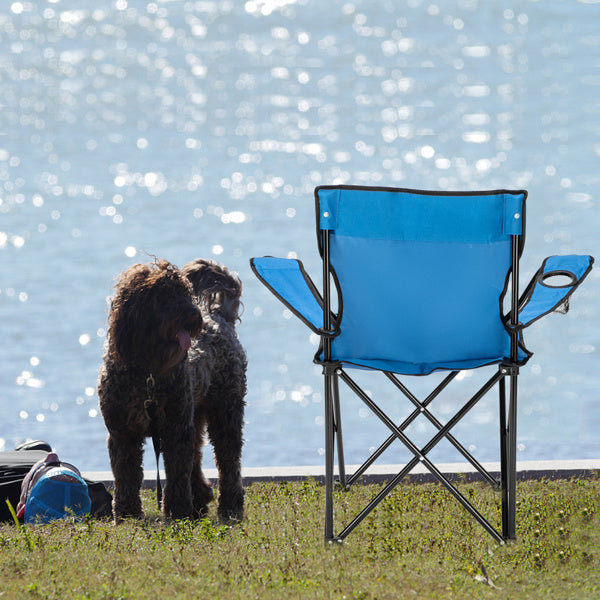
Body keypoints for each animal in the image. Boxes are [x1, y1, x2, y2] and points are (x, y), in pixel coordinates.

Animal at [98, 258, 246, 524]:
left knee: (228, 461)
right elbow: (126, 475)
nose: (193, 315)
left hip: (225, 413)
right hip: (195, 416)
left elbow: (176, 473)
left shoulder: (174, 430)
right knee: (196, 457)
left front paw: (177, 512)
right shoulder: (123, 433)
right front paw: (126, 514)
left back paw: (229, 506)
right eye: (162, 295)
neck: (147, 372)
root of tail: (218, 317)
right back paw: (200, 500)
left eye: (185, 292)